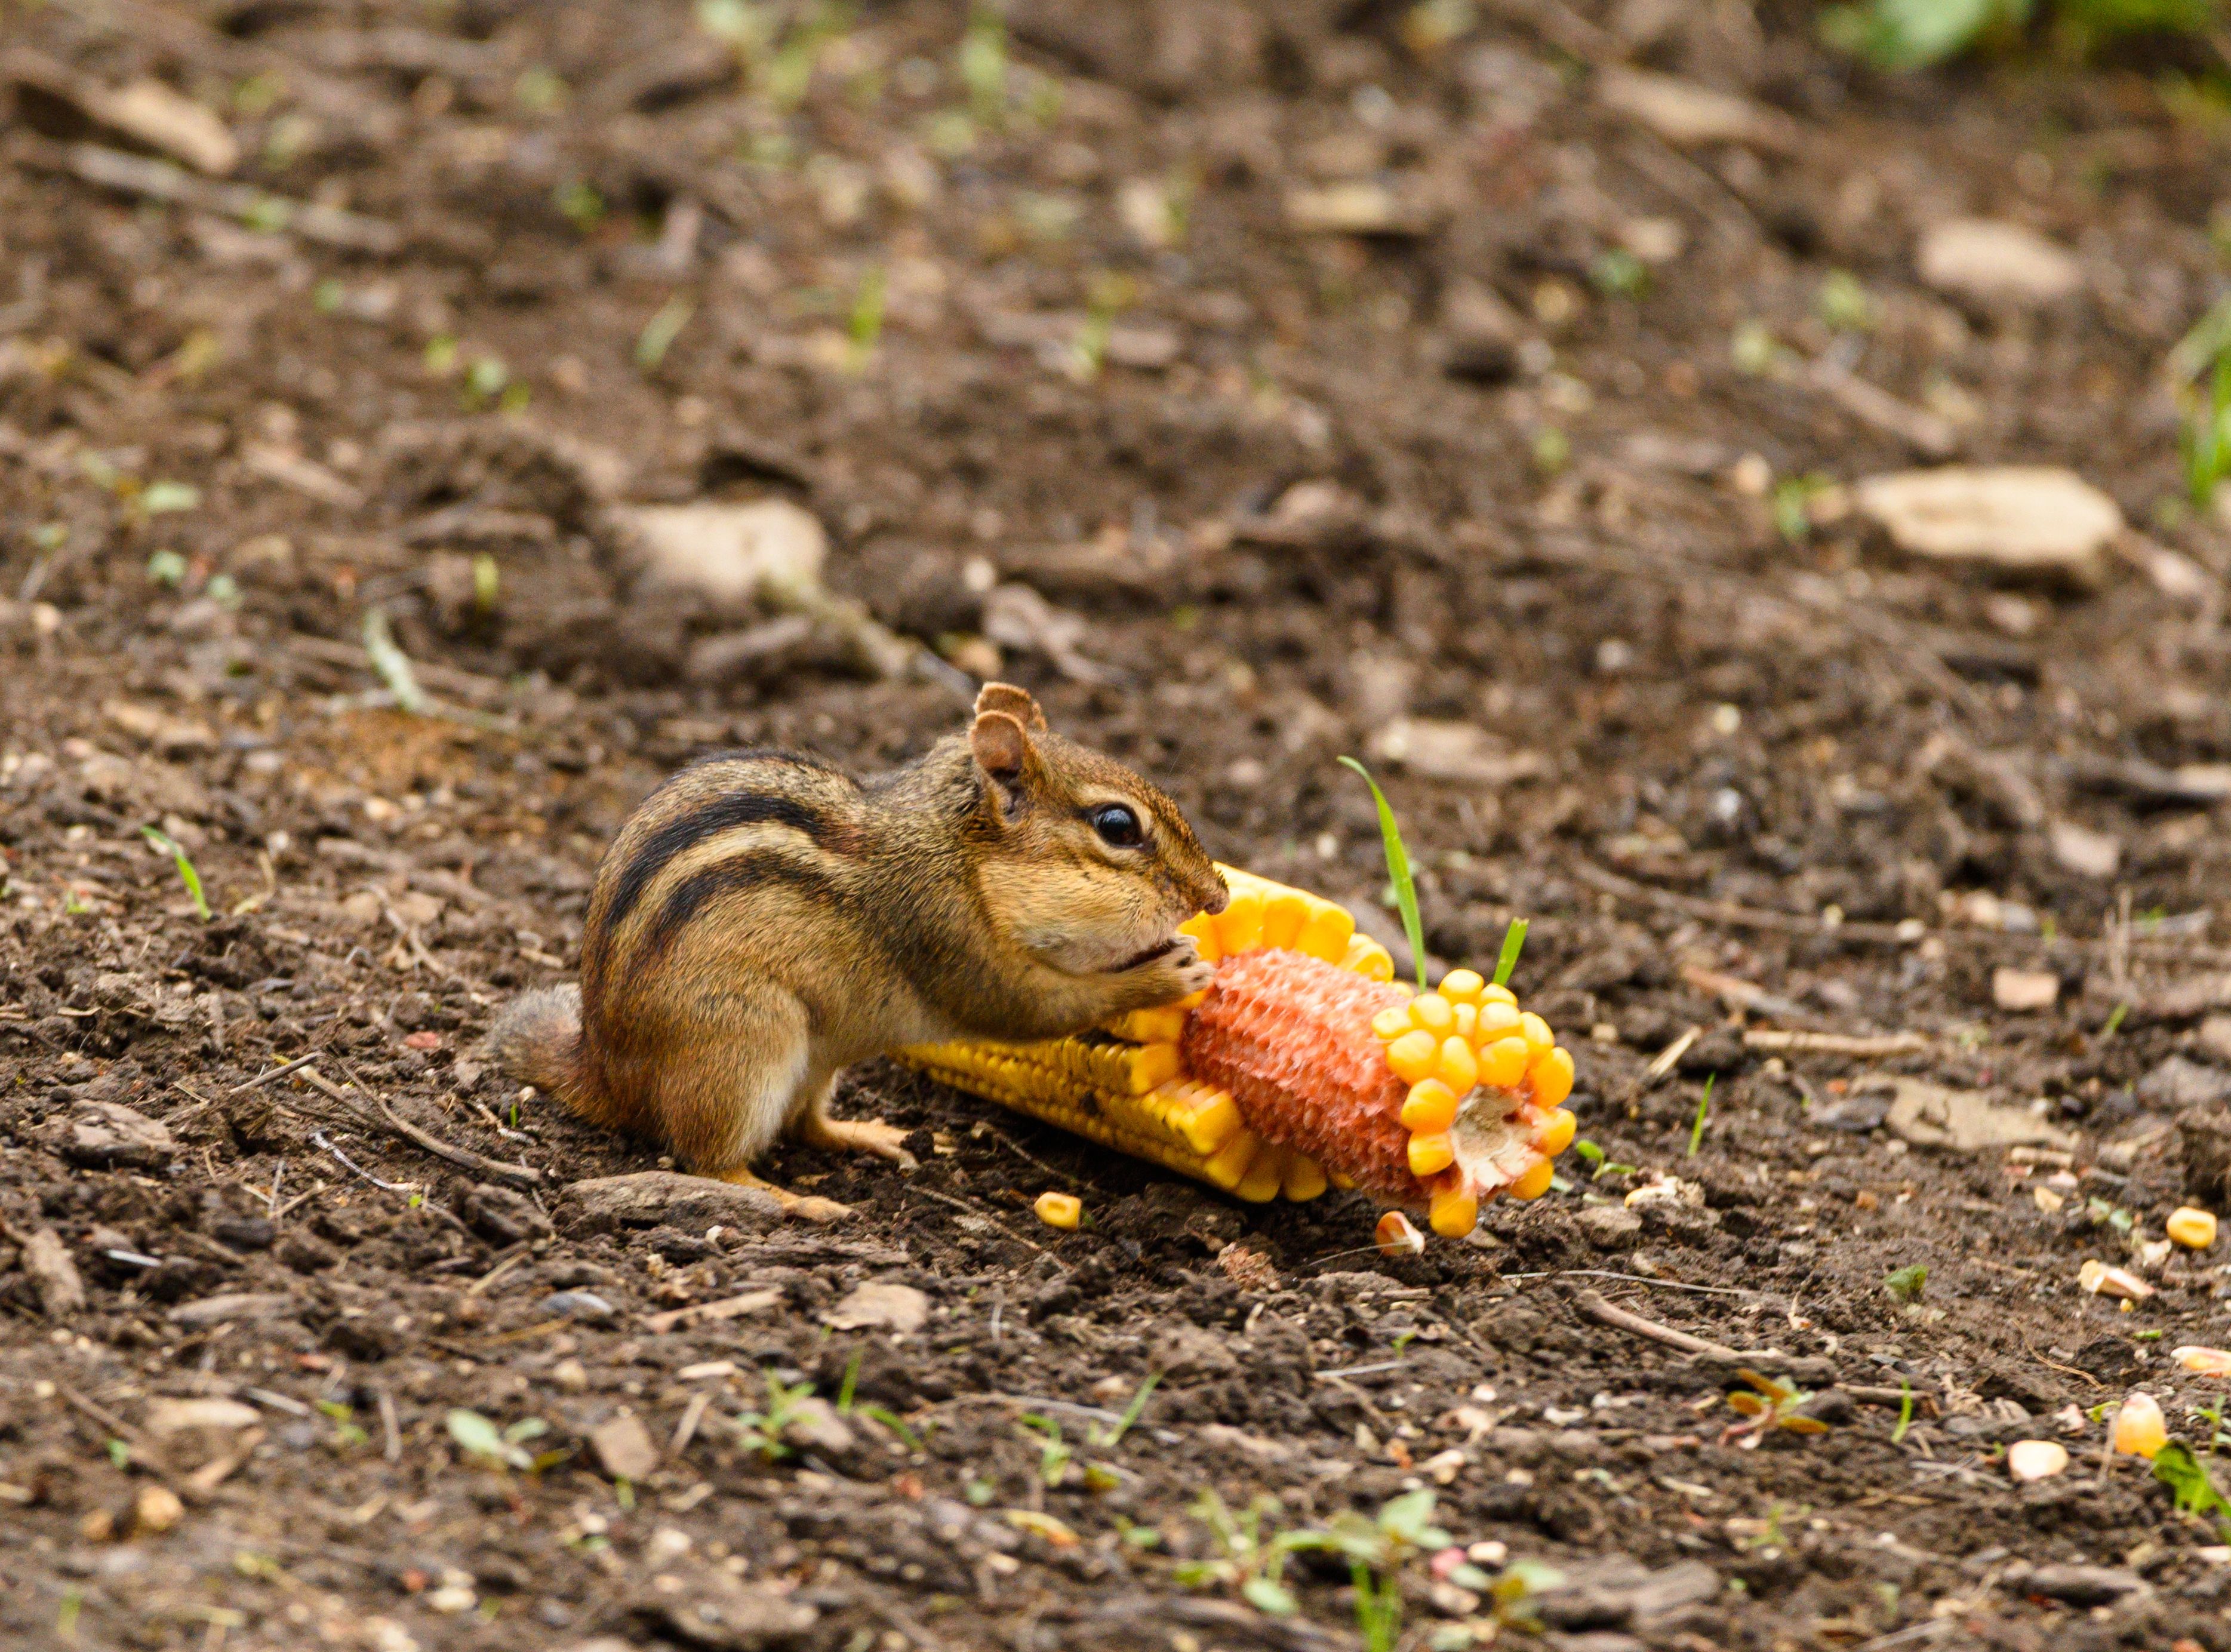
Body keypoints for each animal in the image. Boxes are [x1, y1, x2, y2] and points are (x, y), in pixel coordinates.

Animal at [489, 683, 1229, 1220]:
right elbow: (1026, 1007)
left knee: (807, 1125)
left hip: (819, 1056)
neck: (959, 851)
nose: (1218, 895)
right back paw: (793, 1201)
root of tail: (604, 1071)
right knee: (709, 1158)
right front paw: (1165, 973)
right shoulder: (943, 931)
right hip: (743, 1040)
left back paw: (873, 1135)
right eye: (1116, 825)